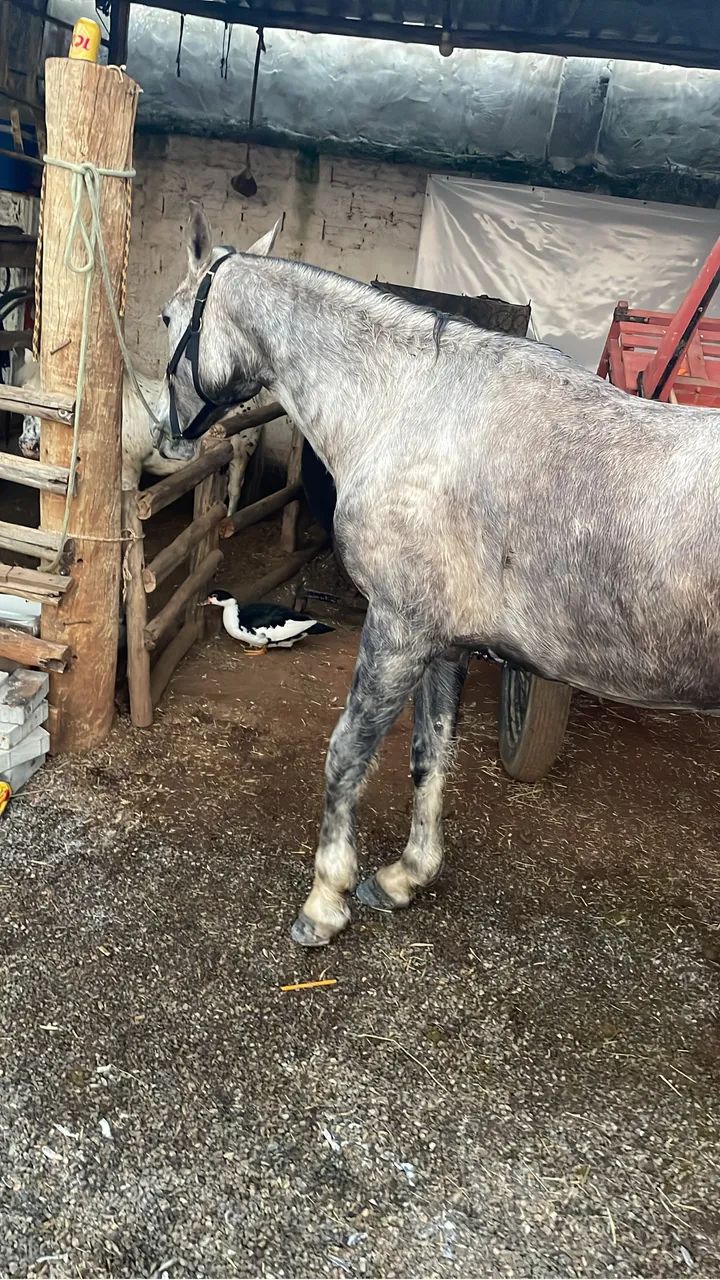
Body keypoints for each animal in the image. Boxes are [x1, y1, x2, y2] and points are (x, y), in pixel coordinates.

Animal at [157, 202, 720, 948]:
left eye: (166, 316)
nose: (165, 435)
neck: (410, 405)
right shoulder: (444, 643)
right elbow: (431, 754)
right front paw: (405, 877)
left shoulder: (396, 629)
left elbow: (347, 755)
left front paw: (325, 901)